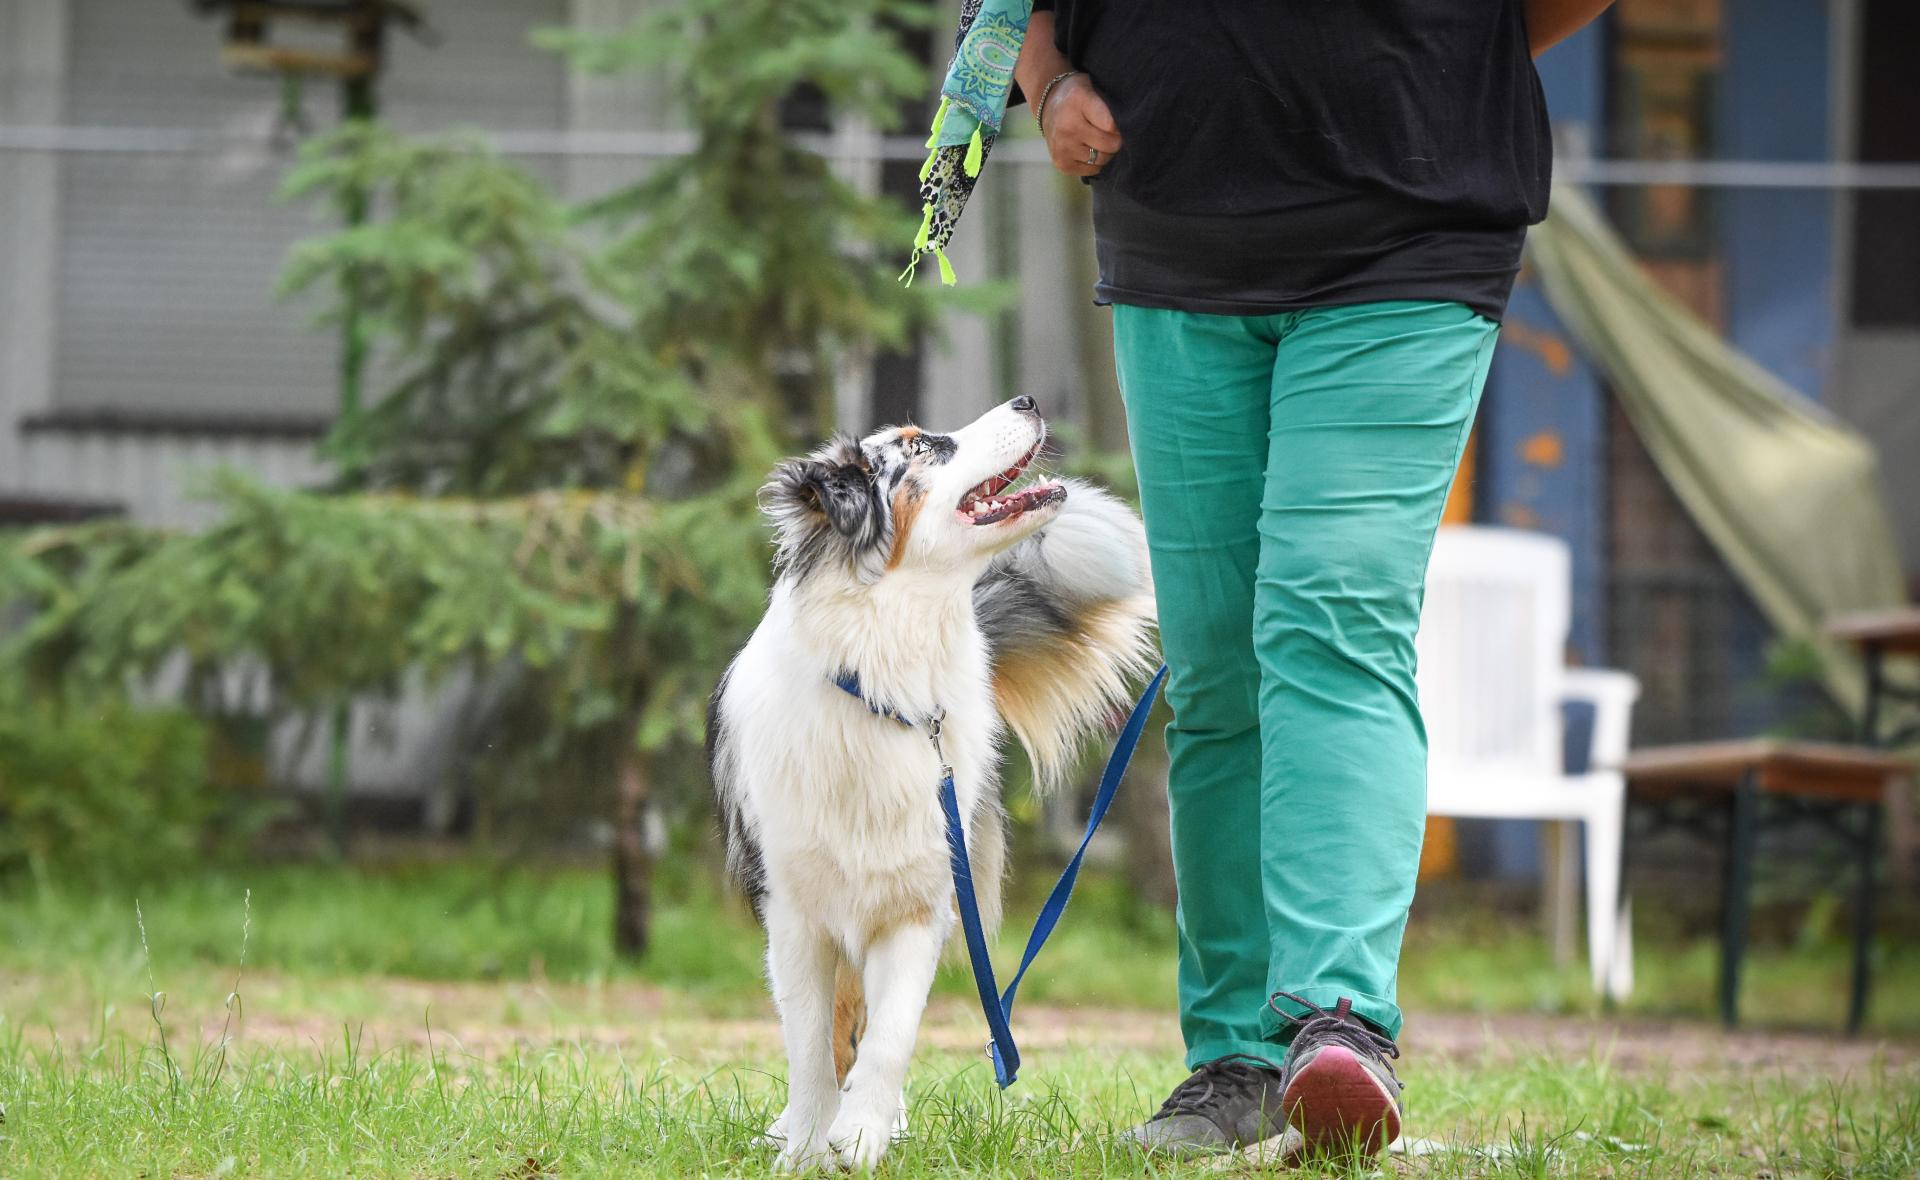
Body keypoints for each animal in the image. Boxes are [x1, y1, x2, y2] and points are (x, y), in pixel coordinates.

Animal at [706, 399, 1152, 1174]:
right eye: (919, 449)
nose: (1029, 401)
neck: (887, 682)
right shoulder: (794, 915)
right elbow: (809, 1043)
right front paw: (806, 1146)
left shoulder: (921, 902)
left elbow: (892, 1034)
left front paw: (862, 1134)